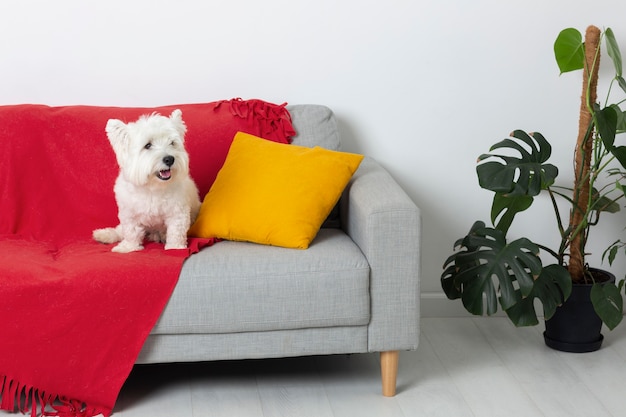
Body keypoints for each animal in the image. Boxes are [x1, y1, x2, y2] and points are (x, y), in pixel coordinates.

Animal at [93, 110, 200, 252]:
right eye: (147, 145)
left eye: (172, 143)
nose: (169, 159)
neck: (152, 187)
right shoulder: (129, 213)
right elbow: (130, 231)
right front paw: (128, 247)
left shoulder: (178, 212)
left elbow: (176, 232)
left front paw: (175, 247)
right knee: (120, 230)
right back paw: (104, 235)